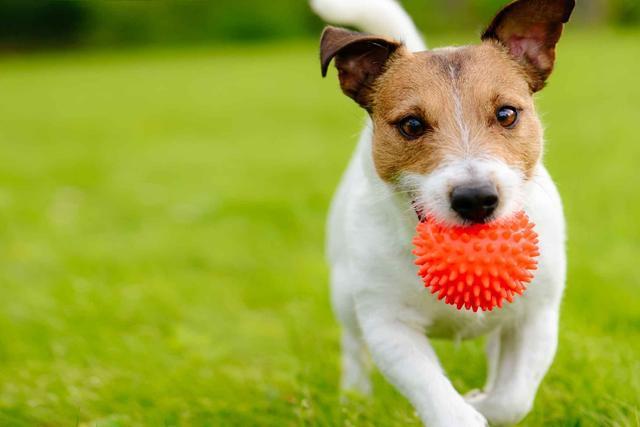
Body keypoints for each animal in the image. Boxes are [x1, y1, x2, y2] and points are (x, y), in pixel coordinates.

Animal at [312, 0, 576, 426]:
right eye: (411, 124)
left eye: (506, 114)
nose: (476, 198)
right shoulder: (388, 326)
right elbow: (440, 398)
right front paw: (467, 408)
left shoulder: (535, 317)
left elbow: (512, 398)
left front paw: (480, 400)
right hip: (344, 293)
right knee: (353, 345)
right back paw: (355, 397)